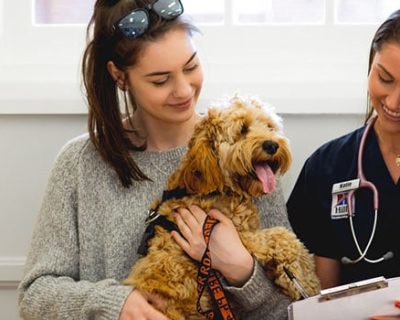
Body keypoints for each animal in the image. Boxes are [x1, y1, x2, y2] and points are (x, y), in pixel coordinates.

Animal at [124, 96, 318, 318]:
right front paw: (308, 281)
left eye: (269, 126)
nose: (272, 144)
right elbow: (284, 237)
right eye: (242, 129)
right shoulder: (238, 235)